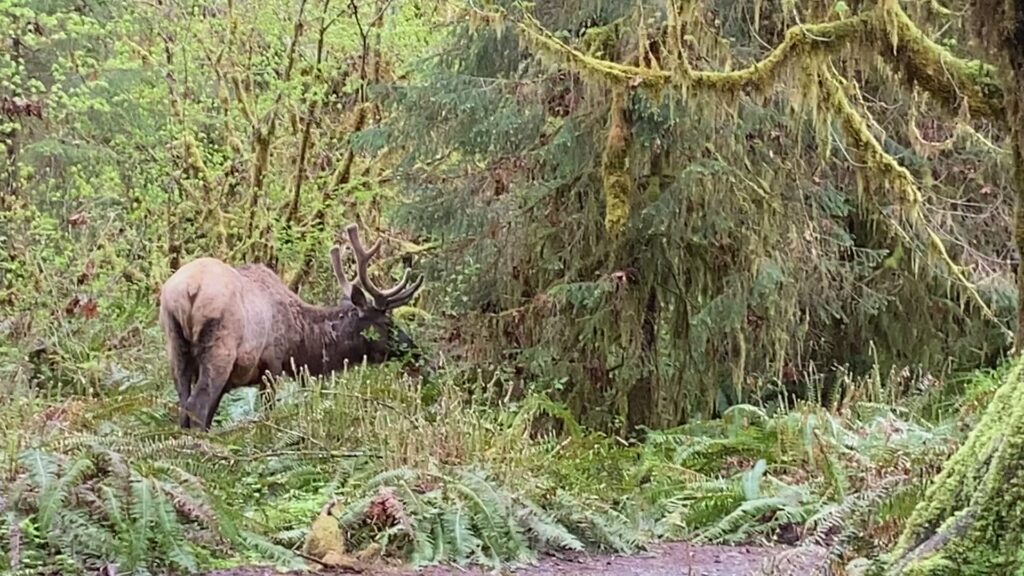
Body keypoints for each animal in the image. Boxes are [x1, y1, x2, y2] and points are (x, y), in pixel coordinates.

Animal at [158, 223, 424, 430]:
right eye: (387, 322)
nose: (415, 351)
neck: (299, 341)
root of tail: (189, 289)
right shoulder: (272, 364)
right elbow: (267, 412)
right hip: (220, 349)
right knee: (196, 407)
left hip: (176, 347)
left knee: (184, 407)